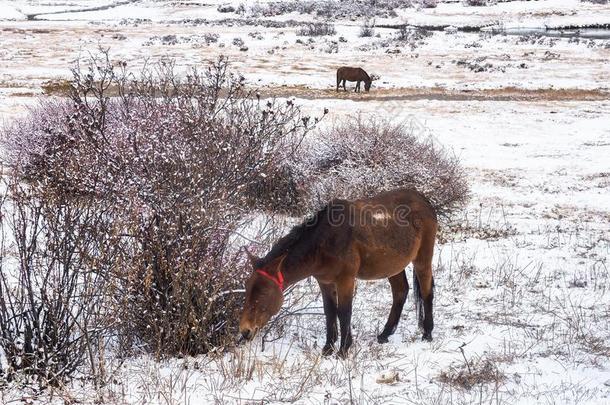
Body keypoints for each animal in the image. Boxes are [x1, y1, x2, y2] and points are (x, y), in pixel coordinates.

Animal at [239, 188, 436, 356]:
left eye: (263, 293)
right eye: (247, 289)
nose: (245, 330)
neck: (323, 244)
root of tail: (424, 199)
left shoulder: (345, 280)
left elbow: (344, 312)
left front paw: (343, 350)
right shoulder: (325, 281)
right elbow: (330, 312)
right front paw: (328, 348)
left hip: (422, 260)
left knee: (427, 292)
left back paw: (427, 333)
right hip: (393, 266)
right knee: (400, 292)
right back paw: (384, 334)